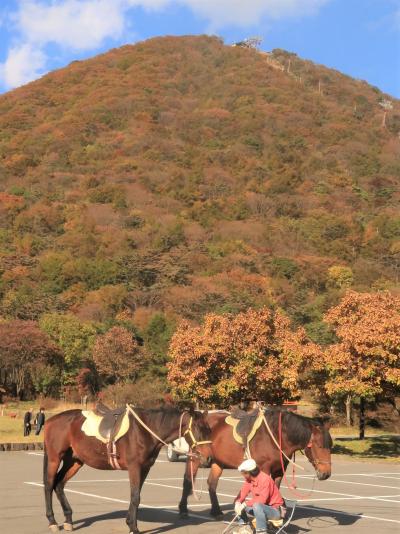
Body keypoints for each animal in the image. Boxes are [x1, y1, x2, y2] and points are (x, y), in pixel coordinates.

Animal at [43, 408, 212, 532]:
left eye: (209, 429)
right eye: (197, 428)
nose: (208, 458)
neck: (145, 431)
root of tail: (50, 421)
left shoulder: (144, 469)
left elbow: (135, 497)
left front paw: (130, 522)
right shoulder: (134, 467)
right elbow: (136, 497)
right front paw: (133, 528)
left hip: (74, 461)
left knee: (59, 484)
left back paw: (68, 520)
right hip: (54, 459)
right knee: (49, 485)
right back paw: (52, 522)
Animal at [178, 410, 332, 520]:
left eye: (330, 445)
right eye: (319, 445)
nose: (326, 473)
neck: (275, 436)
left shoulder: (279, 471)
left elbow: (274, 489)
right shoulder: (264, 469)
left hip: (217, 462)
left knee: (212, 483)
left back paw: (216, 511)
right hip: (196, 458)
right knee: (187, 481)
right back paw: (183, 510)